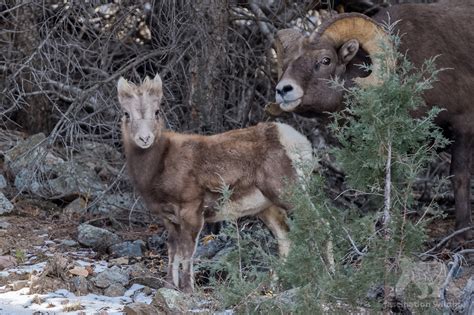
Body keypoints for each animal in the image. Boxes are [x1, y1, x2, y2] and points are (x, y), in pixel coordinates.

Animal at [117, 73, 312, 292]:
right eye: (126, 113)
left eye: (157, 111)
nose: (144, 138)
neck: (159, 166)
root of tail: (299, 142)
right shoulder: (168, 218)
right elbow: (172, 251)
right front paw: (169, 285)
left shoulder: (191, 211)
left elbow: (187, 252)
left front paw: (187, 289)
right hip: (268, 208)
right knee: (285, 238)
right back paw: (274, 286)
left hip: (289, 194)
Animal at [274, 1, 474, 238]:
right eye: (286, 63)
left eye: (325, 60)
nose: (283, 90)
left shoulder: (463, 126)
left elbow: (459, 176)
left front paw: (462, 233)